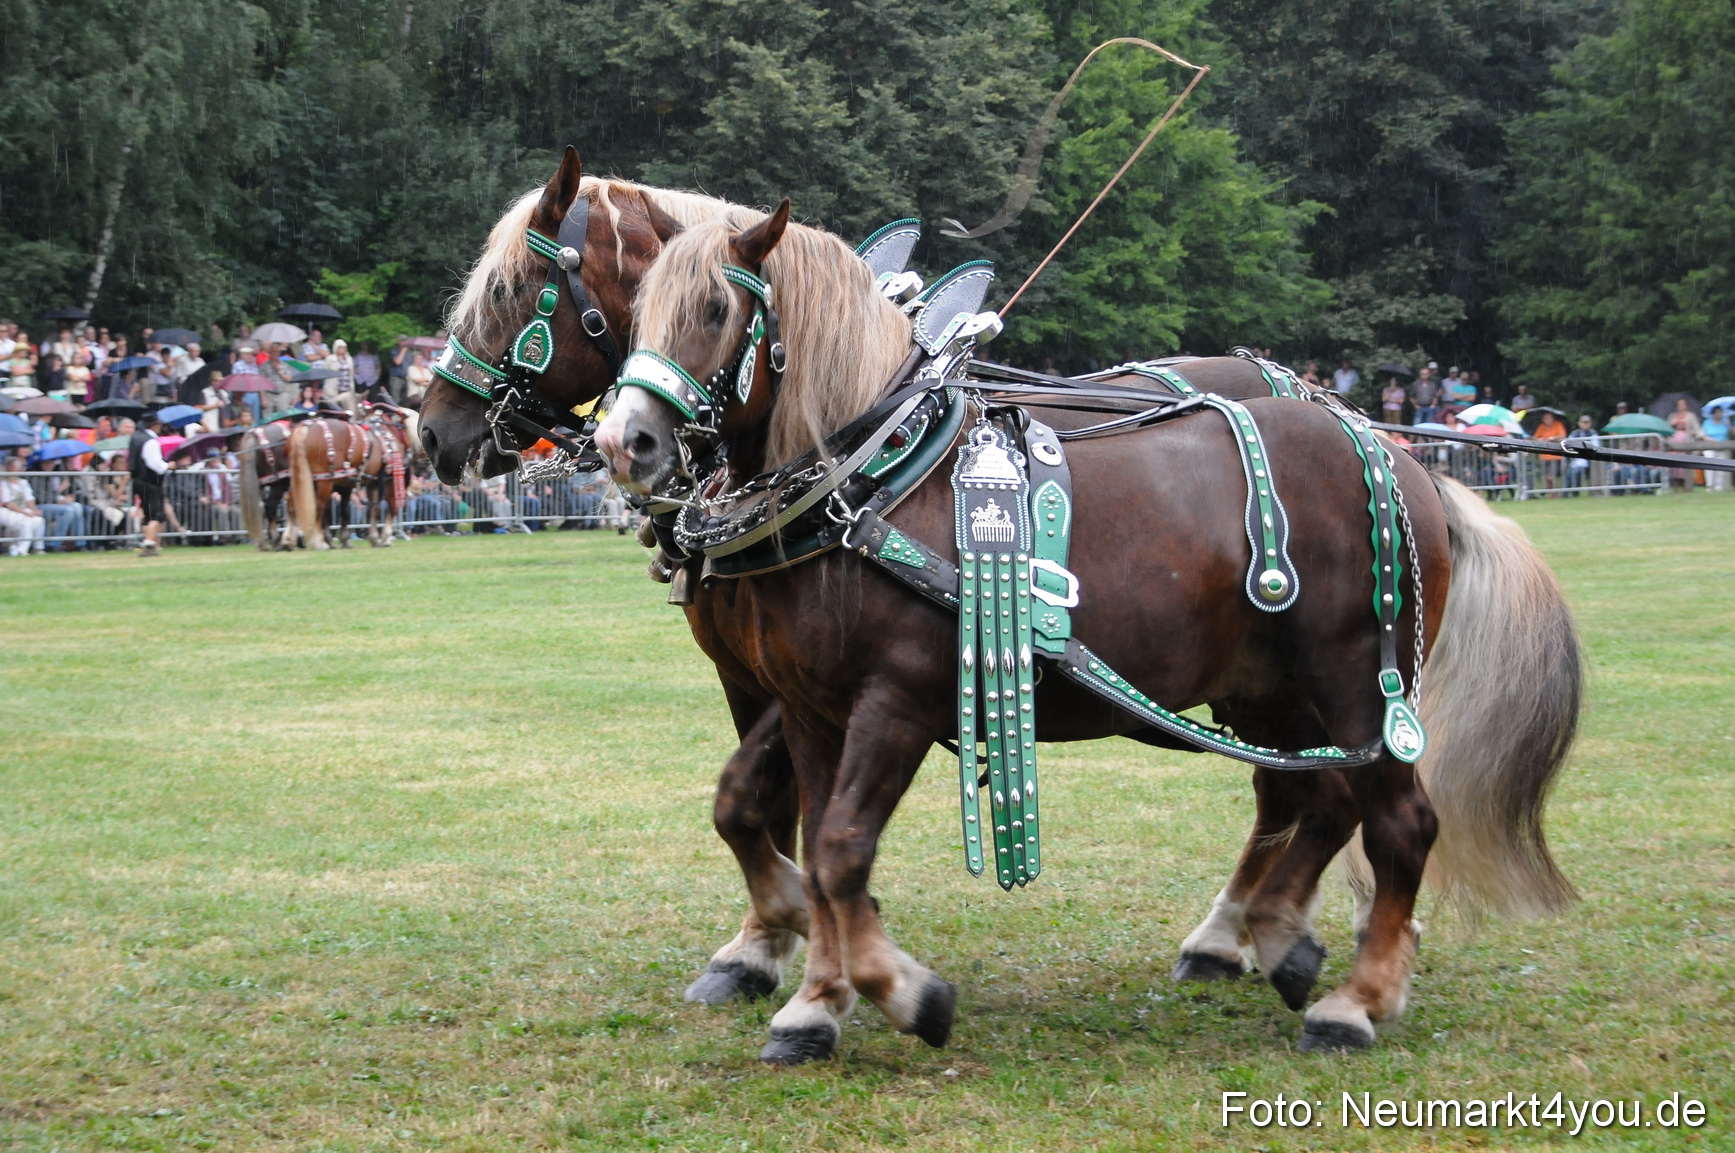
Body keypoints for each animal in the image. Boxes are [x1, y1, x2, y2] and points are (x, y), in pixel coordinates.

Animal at [422, 149, 1391, 1014]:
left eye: (509, 291)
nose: (432, 430)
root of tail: (1301, 386)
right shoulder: (756, 672)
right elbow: (764, 807)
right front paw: (777, 946)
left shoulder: (821, 681)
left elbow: (747, 799)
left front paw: (793, 938)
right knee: (1289, 784)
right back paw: (1239, 933)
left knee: (1302, 784)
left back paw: (1251, 935)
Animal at [594, 202, 1581, 1061]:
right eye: (634, 312)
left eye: (715, 309)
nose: (623, 442)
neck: (877, 481)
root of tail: (1403, 459)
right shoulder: (806, 707)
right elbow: (810, 841)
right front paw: (816, 998)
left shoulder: (896, 702)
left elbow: (838, 851)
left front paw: (900, 992)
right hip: (1269, 690)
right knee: (1313, 797)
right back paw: (1268, 936)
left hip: (1357, 688)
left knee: (1399, 822)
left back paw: (1354, 1000)